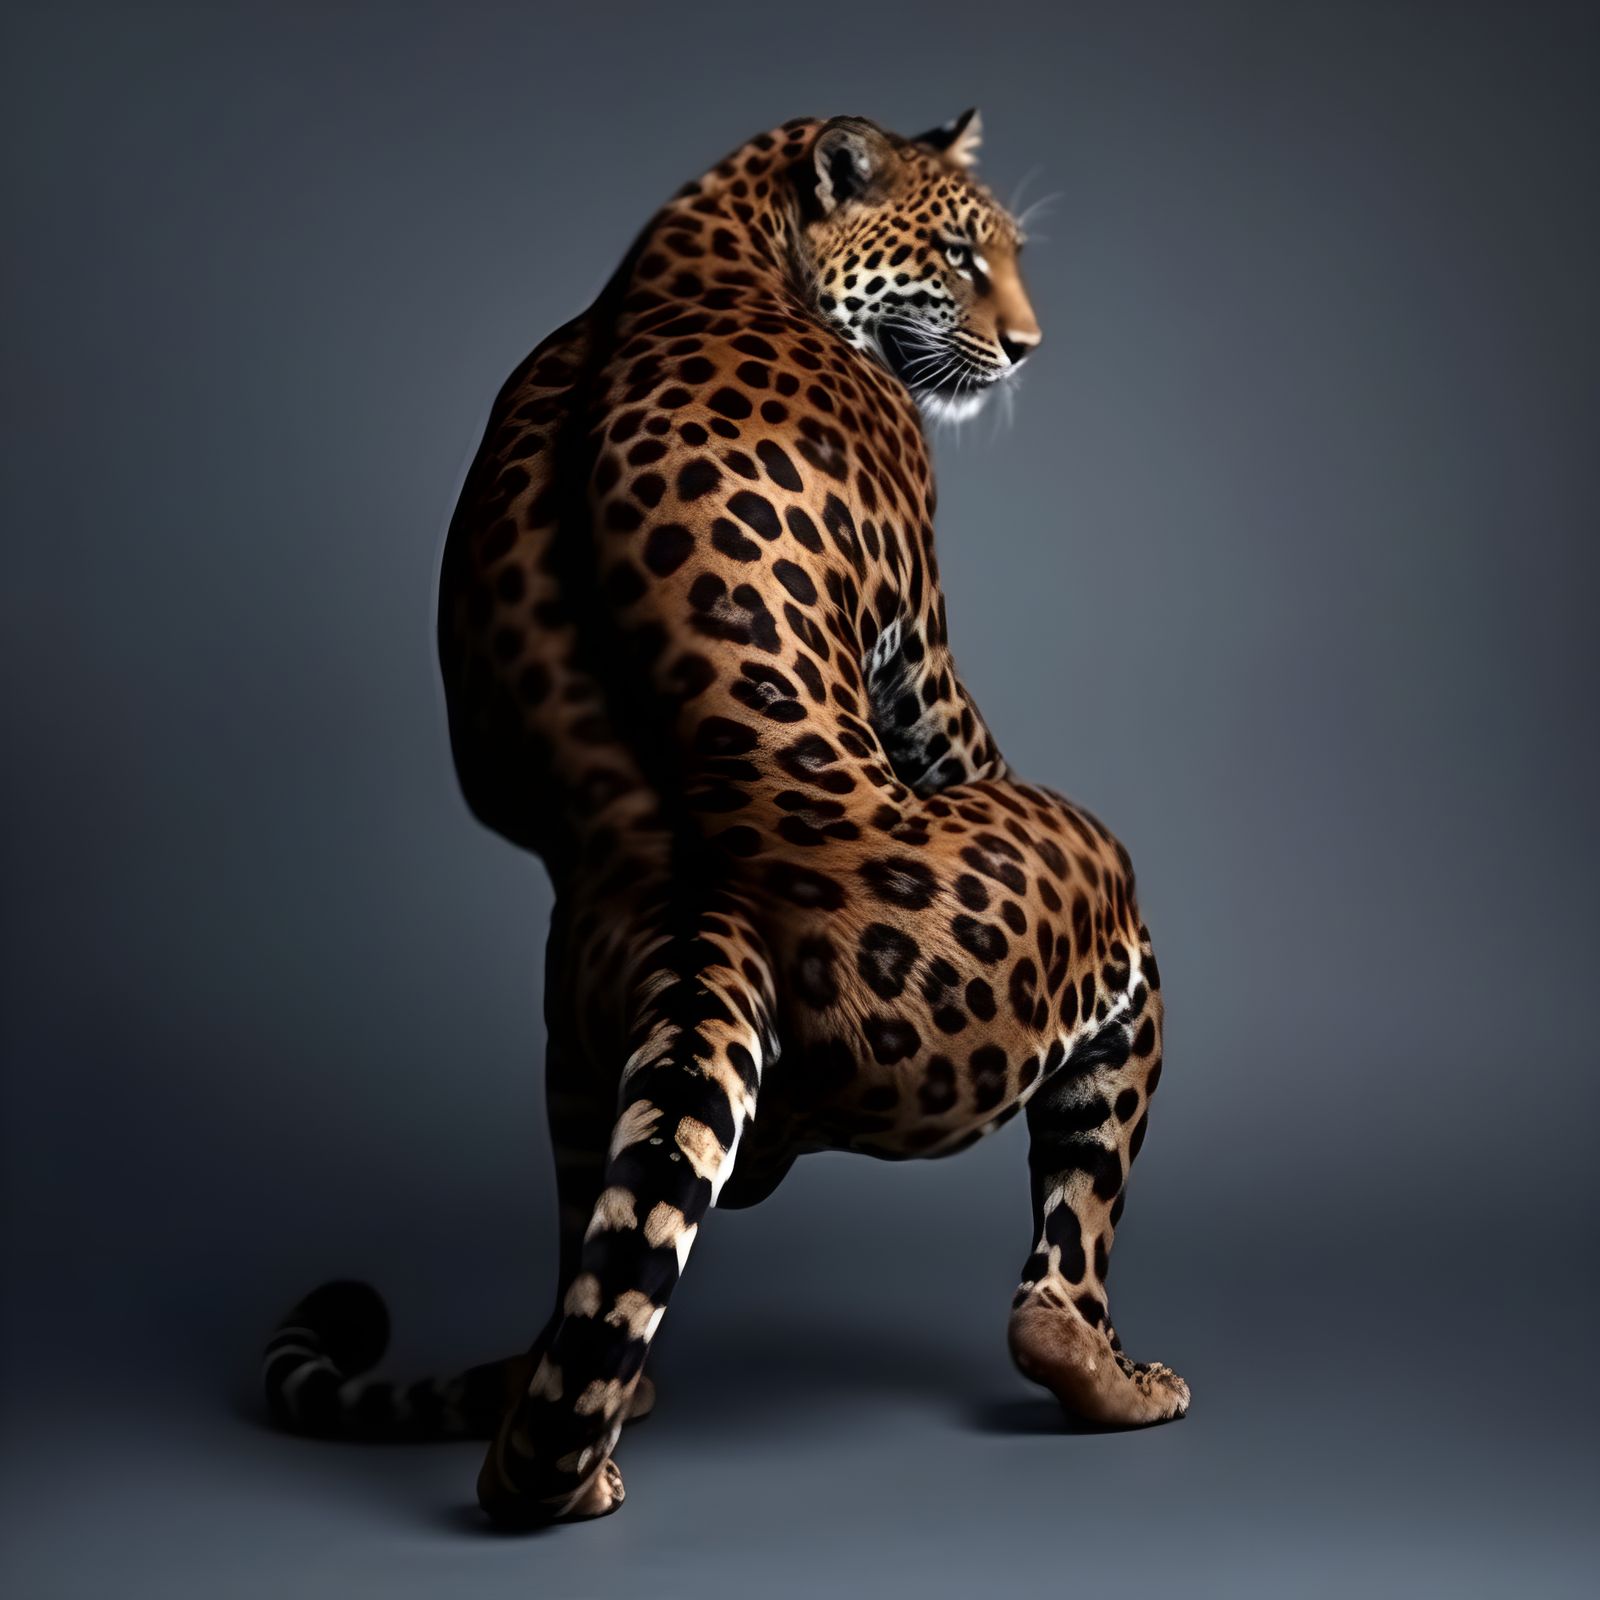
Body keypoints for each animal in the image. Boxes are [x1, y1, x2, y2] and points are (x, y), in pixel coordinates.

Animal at [263, 110, 1189, 1528]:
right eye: (963, 258)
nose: (1030, 346)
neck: (729, 227)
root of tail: (719, 900)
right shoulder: (920, 642)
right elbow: (954, 722)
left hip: (577, 1040)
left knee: (595, 1284)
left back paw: (590, 1447)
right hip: (1096, 910)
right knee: (1061, 1253)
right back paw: (1110, 1378)